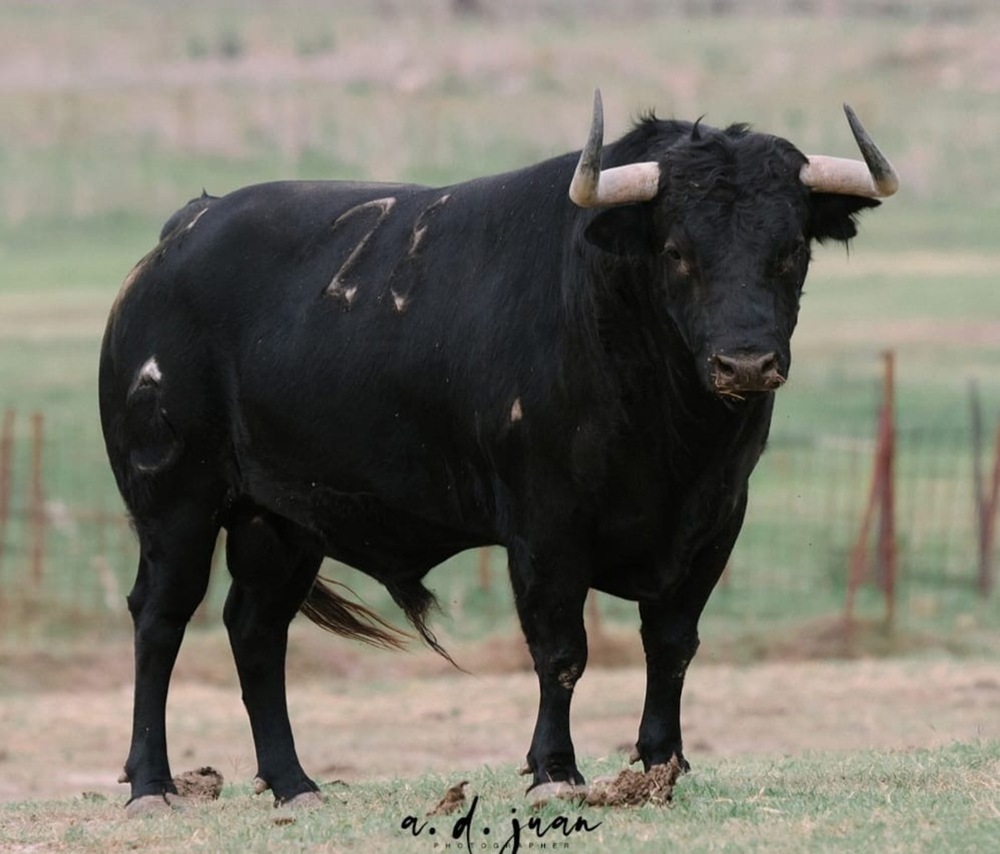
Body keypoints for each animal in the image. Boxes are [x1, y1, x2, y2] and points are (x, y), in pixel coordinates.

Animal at [101, 93, 900, 808]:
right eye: (677, 251)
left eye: (790, 250)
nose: (745, 363)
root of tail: (184, 232)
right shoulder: (546, 525)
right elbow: (561, 651)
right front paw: (555, 771)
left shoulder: (715, 520)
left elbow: (672, 644)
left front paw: (662, 765)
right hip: (176, 500)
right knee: (160, 619)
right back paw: (152, 785)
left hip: (283, 519)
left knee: (256, 629)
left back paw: (295, 786)